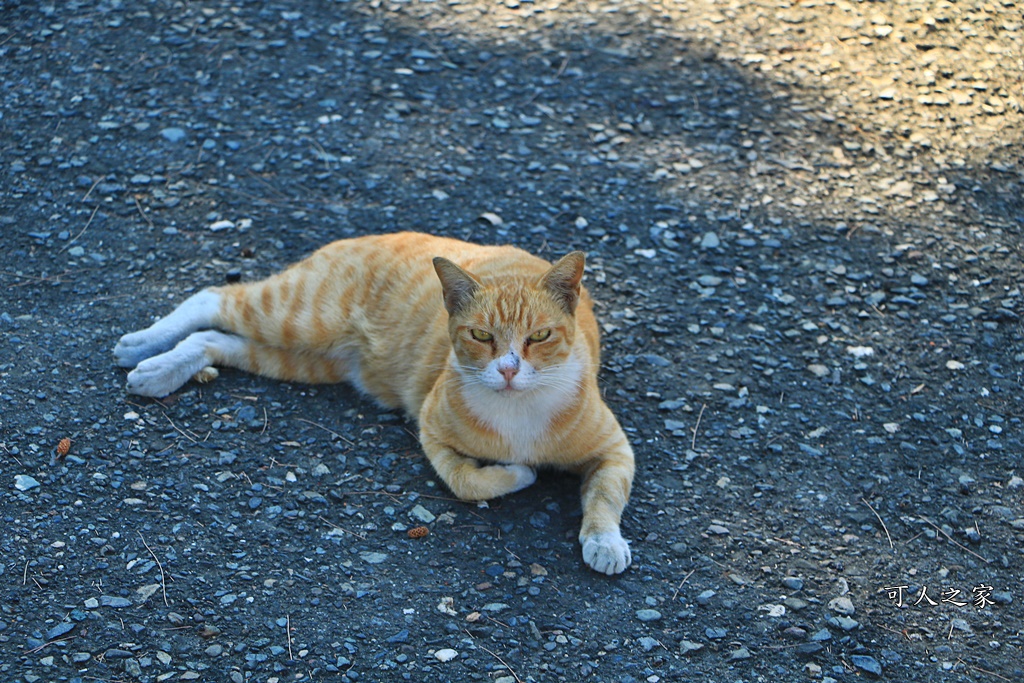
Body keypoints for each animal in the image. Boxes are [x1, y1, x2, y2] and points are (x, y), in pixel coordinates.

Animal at [116, 232, 634, 573]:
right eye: (482, 336)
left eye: (540, 337)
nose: (508, 370)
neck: (519, 410)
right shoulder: (431, 434)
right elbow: (471, 482)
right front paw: (521, 472)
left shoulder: (614, 450)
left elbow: (606, 495)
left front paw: (605, 542)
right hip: (295, 317)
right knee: (211, 299)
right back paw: (143, 344)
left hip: (302, 359)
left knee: (212, 339)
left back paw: (160, 369)